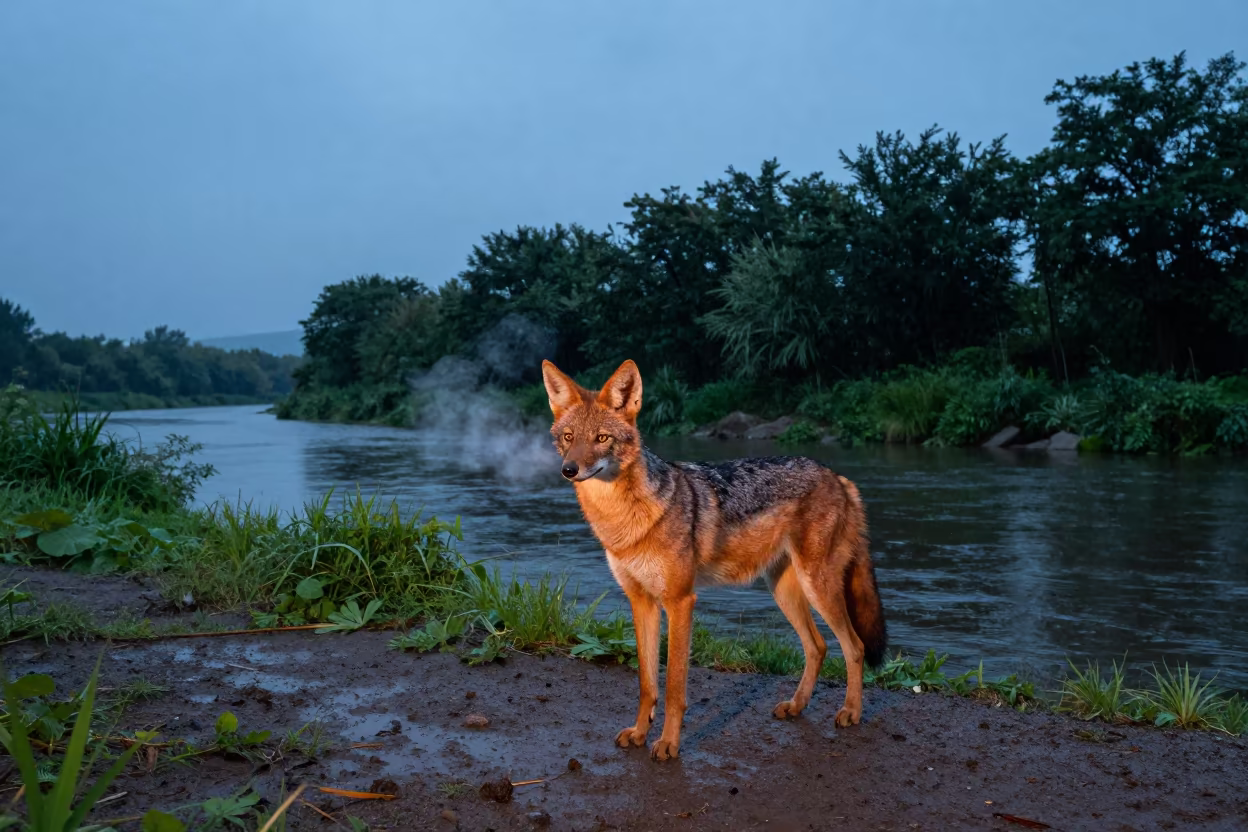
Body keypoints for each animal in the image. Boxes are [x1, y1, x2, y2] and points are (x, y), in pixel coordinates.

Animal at [542, 358, 888, 761]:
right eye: (569, 437)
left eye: (601, 439)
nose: (569, 470)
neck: (625, 522)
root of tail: (837, 476)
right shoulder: (641, 602)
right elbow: (647, 683)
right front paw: (640, 733)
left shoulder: (680, 602)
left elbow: (674, 687)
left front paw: (668, 743)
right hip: (785, 593)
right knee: (817, 647)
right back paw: (796, 706)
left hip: (819, 588)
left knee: (854, 647)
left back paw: (851, 712)